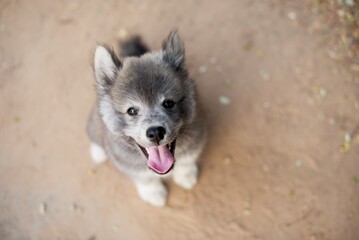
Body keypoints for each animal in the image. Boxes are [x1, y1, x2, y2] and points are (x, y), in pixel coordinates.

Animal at [87, 30, 207, 206]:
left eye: (168, 103)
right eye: (131, 111)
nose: (156, 132)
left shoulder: (195, 142)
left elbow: (187, 161)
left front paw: (185, 175)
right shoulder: (126, 163)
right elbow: (145, 179)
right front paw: (154, 193)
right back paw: (98, 152)